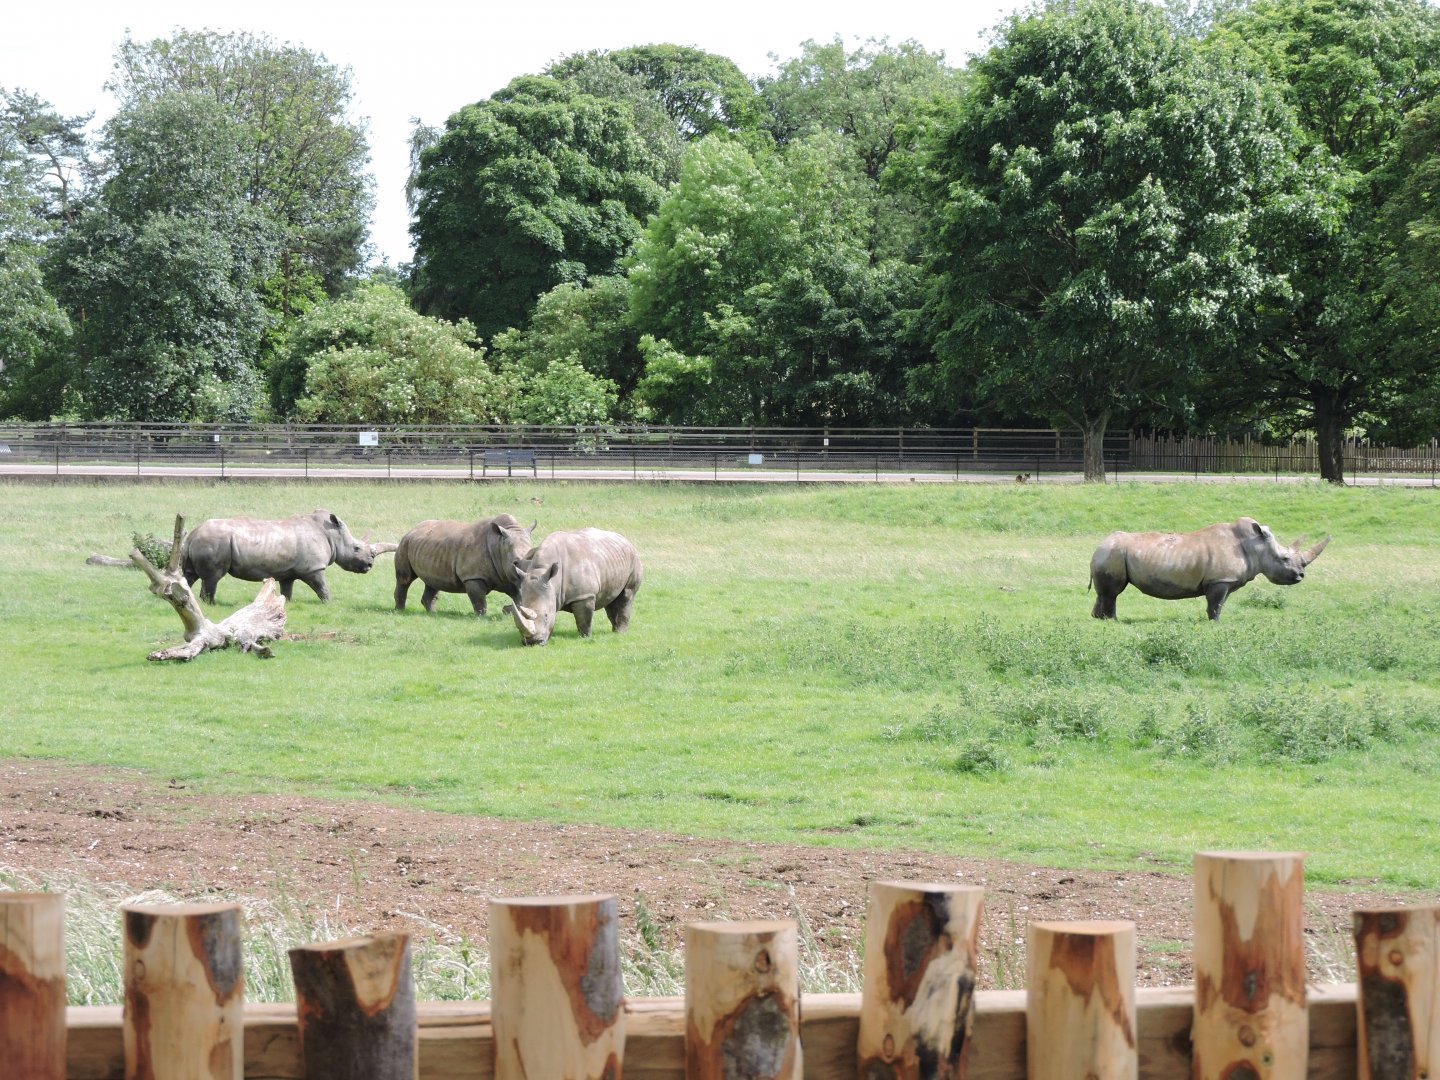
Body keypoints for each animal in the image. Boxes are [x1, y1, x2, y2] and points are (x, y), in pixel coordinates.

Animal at [183, 510, 375, 603]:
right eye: (356, 548)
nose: (369, 565)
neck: (332, 535)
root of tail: (193, 534)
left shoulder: (288, 572)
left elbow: (287, 590)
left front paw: (284, 604)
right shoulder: (313, 568)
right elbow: (322, 587)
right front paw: (329, 603)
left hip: (200, 542)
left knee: (190, 575)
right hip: (213, 542)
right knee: (212, 578)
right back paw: (209, 604)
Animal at [393, 514, 536, 615]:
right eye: (515, 562)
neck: (498, 546)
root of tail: (413, 529)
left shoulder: (507, 575)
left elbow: (519, 597)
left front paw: (518, 612)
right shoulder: (473, 576)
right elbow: (479, 600)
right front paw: (481, 617)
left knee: (432, 582)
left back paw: (433, 614)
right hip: (405, 543)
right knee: (405, 579)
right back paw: (400, 611)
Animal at [504, 528, 643, 646]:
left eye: (546, 616)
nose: (532, 642)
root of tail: (625, 539)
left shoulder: (584, 596)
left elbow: (584, 620)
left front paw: (585, 637)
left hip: (634, 558)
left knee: (627, 595)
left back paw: (620, 633)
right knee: (611, 598)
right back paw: (615, 631)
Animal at [1089, 517, 1330, 621]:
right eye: (1285, 558)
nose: (1301, 576)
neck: (1255, 546)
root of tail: (1099, 545)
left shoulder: (1223, 580)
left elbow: (1218, 604)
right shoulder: (1220, 580)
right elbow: (1215, 605)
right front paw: (1215, 624)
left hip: (1110, 553)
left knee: (1104, 593)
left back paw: (1099, 620)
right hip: (1113, 554)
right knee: (1113, 593)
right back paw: (1113, 622)